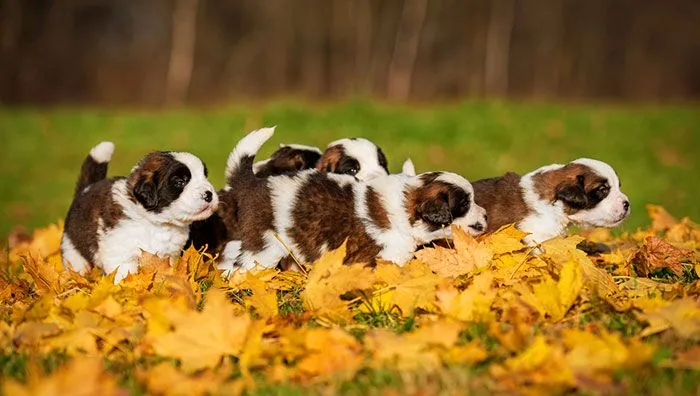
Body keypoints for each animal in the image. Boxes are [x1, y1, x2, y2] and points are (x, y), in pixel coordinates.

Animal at [61, 141, 217, 284]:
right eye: (180, 182)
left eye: (205, 176)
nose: (209, 194)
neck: (156, 223)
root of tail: (85, 189)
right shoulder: (122, 254)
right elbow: (125, 275)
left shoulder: (170, 255)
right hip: (72, 247)